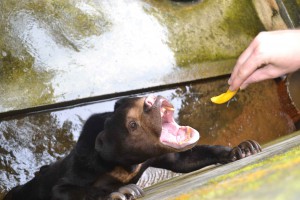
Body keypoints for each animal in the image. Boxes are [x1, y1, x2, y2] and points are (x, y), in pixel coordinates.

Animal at [5, 95, 262, 200]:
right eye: (132, 124)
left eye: (139, 100)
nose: (152, 101)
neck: (125, 163)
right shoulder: (83, 165)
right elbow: (63, 189)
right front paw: (120, 192)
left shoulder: (153, 157)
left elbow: (185, 159)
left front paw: (242, 148)